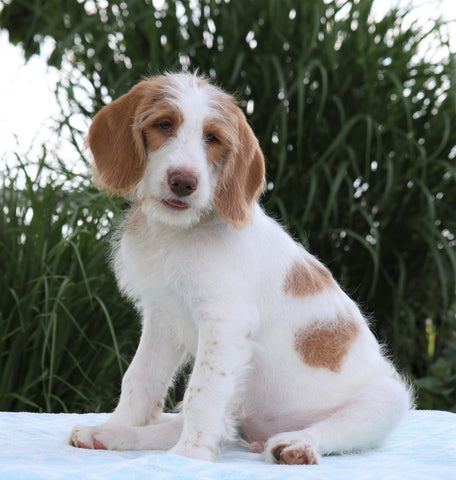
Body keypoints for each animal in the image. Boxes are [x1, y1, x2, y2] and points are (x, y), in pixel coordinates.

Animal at [69, 72, 412, 464]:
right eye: (164, 125)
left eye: (213, 138)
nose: (183, 182)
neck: (180, 232)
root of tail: (260, 434)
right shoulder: (161, 319)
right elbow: (140, 378)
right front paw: (118, 425)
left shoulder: (224, 325)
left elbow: (202, 391)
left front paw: (188, 458)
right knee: (199, 425)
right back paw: (111, 435)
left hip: (384, 400)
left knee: (329, 431)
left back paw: (294, 446)